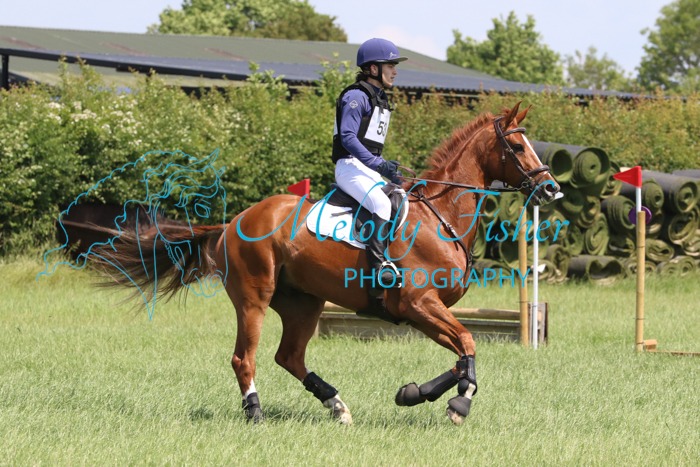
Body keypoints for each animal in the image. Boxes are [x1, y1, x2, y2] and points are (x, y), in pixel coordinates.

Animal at [90, 102, 560, 425]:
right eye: (518, 146)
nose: (552, 189)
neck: (440, 218)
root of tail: (234, 221)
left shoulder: (426, 311)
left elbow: (462, 353)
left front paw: (414, 393)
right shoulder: (418, 304)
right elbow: (468, 342)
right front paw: (458, 403)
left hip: (304, 303)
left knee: (289, 356)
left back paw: (337, 406)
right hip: (254, 299)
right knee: (245, 358)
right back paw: (255, 412)